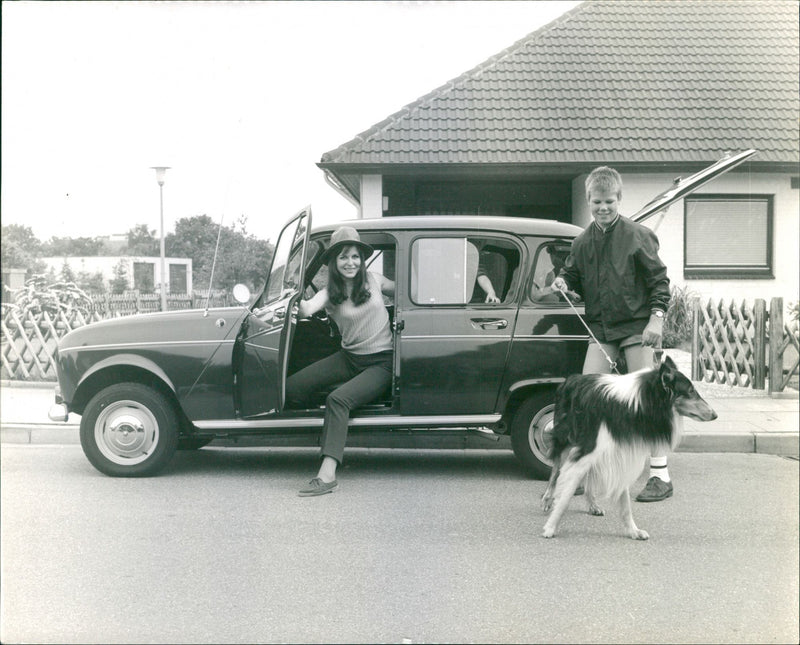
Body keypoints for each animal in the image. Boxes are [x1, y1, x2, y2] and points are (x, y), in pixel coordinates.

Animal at [540, 354, 716, 540]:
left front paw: (634, 531)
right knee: (555, 471)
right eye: (690, 391)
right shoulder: (587, 449)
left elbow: (625, 504)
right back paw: (547, 499)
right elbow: (565, 496)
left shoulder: (621, 453)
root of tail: (571, 378)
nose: (715, 415)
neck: (634, 405)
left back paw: (593, 504)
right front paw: (551, 527)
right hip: (565, 439)